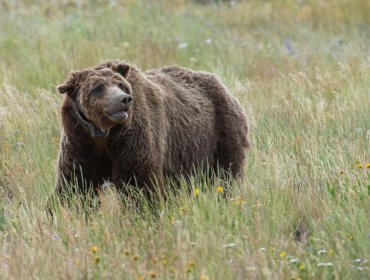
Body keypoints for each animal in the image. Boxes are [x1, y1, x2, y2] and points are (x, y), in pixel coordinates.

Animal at [54, 60, 249, 202]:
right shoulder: (81, 142)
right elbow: (76, 184)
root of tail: (223, 86)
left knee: (225, 175)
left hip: (220, 135)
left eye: (121, 85)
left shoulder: (132, 138)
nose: (124, 99)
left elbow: (139, 182)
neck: (105, 133)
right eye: (97, 87)